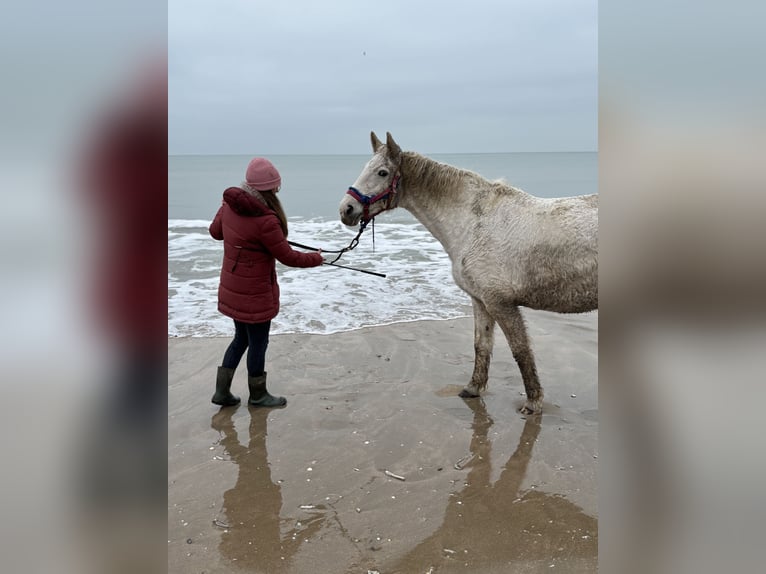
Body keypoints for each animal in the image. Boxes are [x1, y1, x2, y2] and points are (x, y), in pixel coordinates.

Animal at [339, 132, 597, 414]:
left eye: (382, 172)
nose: (346, 209)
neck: (473, 223)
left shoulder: (500, 303)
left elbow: (520, 350)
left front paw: (533, 402)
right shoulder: (480, 300)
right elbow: (481, 345)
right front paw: (473, 388)